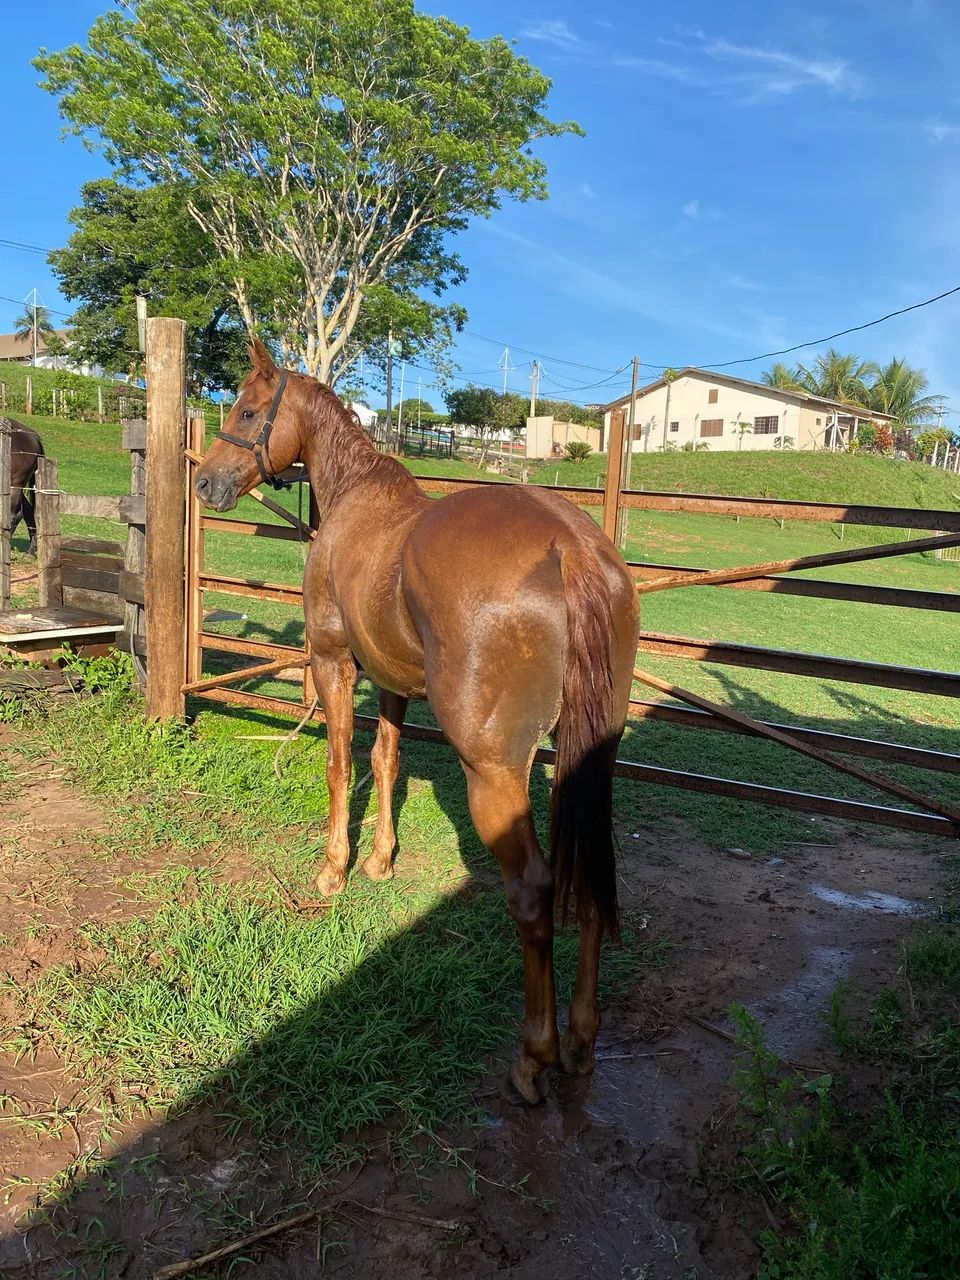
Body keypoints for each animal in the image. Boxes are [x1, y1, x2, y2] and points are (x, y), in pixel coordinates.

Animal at [195, 341, 639, 1105]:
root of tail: (572, 549)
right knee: (587, 879)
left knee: (534, 892)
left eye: (248, 411)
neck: (354, 500)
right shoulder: (393, 682)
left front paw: (335, 869)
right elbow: (387, 761)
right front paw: (379, 859)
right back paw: (582, 1042)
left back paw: (536, 1056)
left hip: (493, 773)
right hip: (586, 760)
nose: (205, 483)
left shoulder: (336, 664)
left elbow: (341, 763)